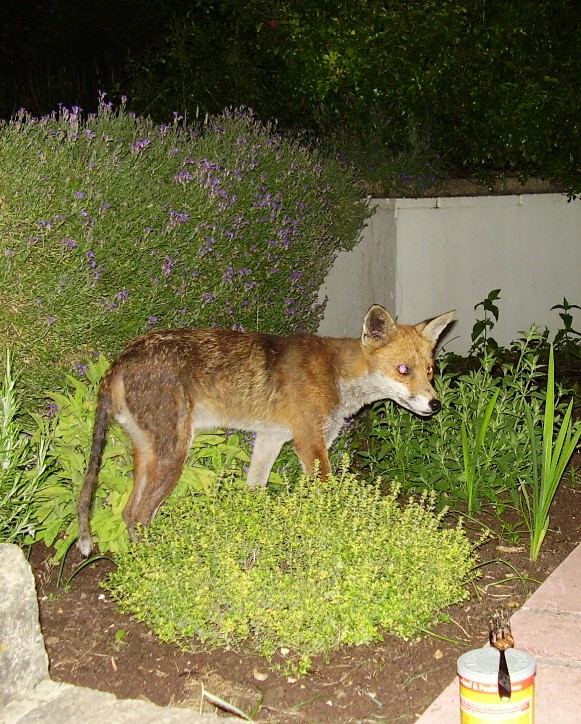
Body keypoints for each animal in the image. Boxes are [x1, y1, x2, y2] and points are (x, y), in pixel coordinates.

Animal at [77, 306, 454, 556]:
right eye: (402, 370)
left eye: (430, 370)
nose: (435, 405)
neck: (337, 374)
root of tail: (122, 358)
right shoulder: (310, 443)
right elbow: (326, 499)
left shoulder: (271, 438)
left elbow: (255, 490)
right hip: (174, 455)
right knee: (141, 516)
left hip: (147, 452)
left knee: (129, 513)